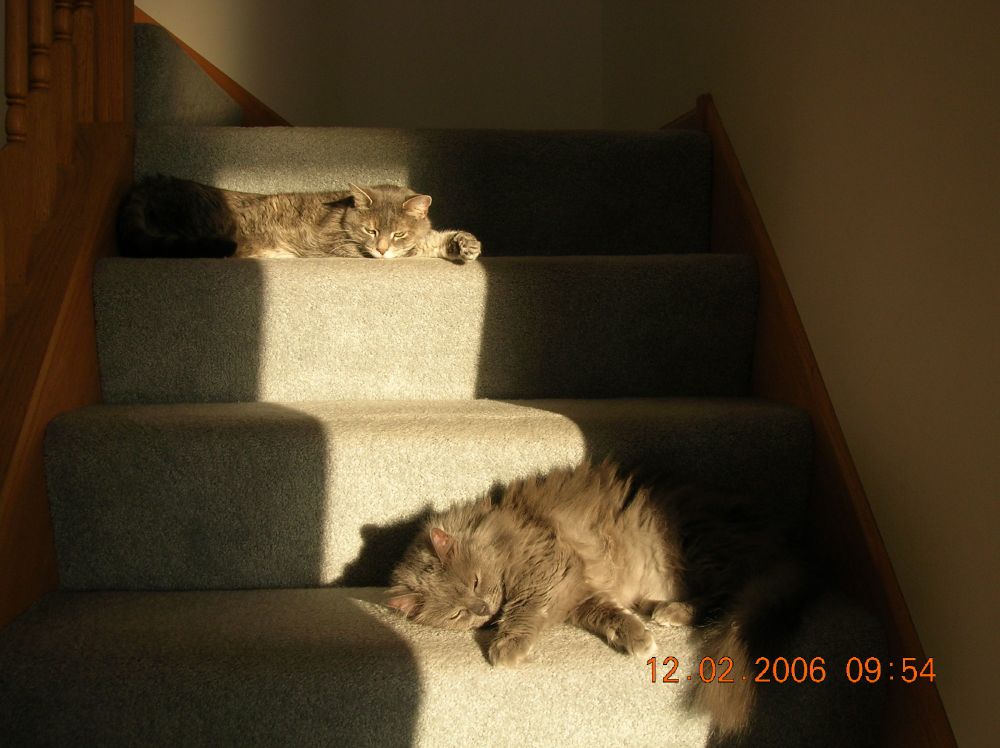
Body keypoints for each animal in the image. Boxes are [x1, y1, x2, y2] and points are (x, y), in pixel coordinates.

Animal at [387, 460, 809, 738]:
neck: (498, 523)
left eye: (475, 582)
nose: (483, 609)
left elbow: (524, 610)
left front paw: (508, 645)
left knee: (725, 595)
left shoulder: (549, 568)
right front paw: (635, 637)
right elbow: (608, 615)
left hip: (703, 548)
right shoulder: (577, 590)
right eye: (457, 614)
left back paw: (670, 610)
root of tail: (789, 547)